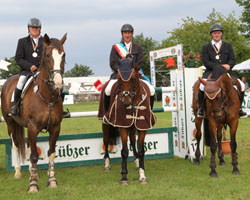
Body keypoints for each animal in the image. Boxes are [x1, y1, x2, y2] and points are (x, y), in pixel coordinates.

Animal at [0, 33, 66, 191]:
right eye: (47, 55)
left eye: (63, 55)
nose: (58, 83)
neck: (47, 97)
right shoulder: (32, 126)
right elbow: (35, 155)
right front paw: (33, 185)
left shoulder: (55, 128)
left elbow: (51, 153)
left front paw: (52, 180)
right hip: (11, 123)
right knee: (15, 144)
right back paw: (18, 172)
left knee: (30, 147)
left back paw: (31, 170)